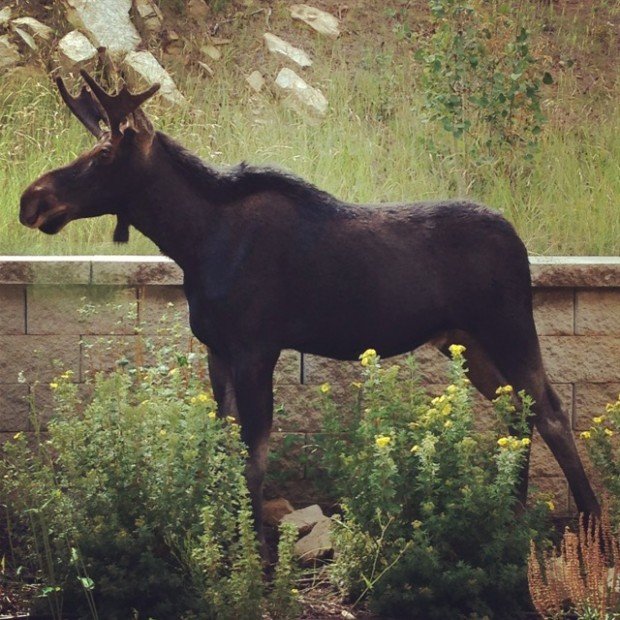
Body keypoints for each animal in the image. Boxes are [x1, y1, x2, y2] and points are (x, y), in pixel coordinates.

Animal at [21, 72, 600, 552]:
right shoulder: (217, 350)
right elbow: (225, 445)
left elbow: (253, 457)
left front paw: (256, 553)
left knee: (551, 412)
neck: (191, 242)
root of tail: (522, 245)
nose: (31, 200)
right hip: (467, 341)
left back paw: (590, 526)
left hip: (508, 327)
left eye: (102, 156)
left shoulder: (256, 347)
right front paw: (225, 535)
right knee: (518, 410)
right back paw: (510, 512)